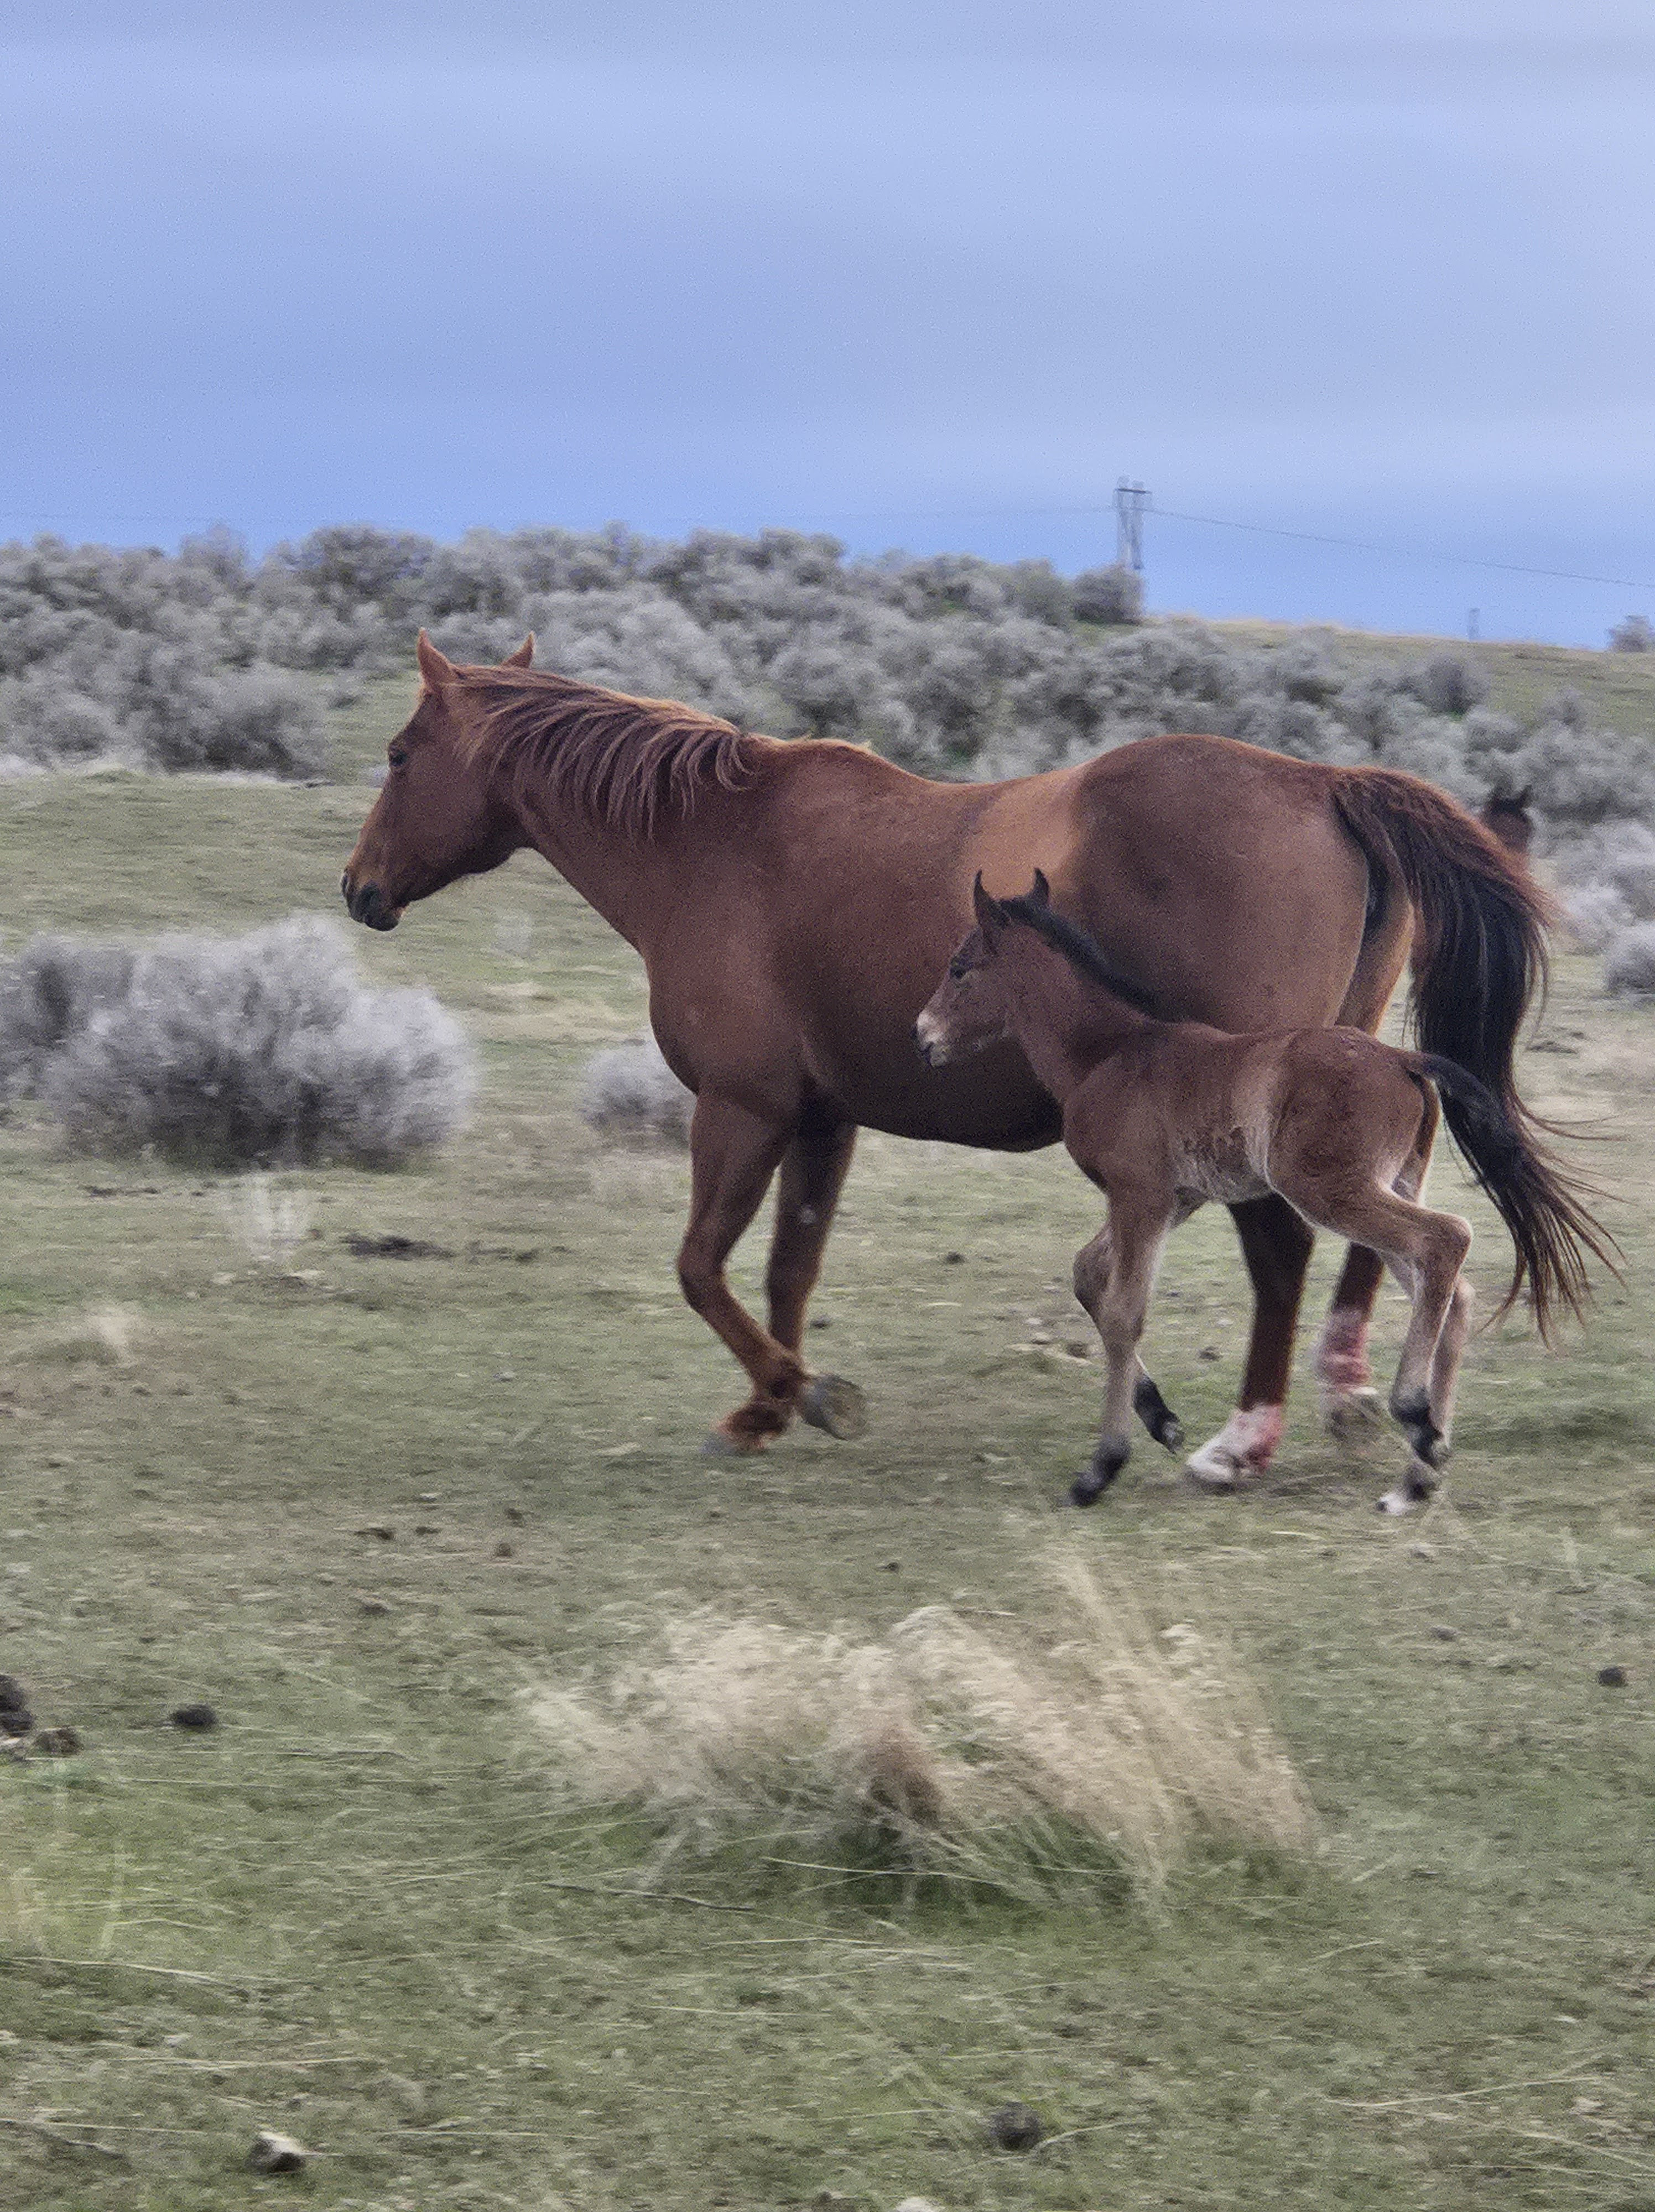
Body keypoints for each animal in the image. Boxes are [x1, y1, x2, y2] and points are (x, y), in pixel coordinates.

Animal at [343, 630, 1562, 1479]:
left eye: (399, 755)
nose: (359, 889)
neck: (710, 847)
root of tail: (1322, 783)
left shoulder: (741, 1107)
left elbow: (700, 1266)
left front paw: (787, 1391)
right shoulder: (820, 1117)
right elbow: (788, 1266)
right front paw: (773, 1404)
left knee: (1288, 1252)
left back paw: (1245, 1440)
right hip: (1335, 1095)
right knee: (1379, 1247)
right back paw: (1356, 1396)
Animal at [917, 873, 1612, 1513]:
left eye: (958, 968)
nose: (923, 1035)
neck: (1108, 1053)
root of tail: (1403, 1060)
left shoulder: (1139, 1194)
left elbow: (1122, 1312)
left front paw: (1100, 1468)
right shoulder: (1175, 1198)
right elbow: (1088, 1275)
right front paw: (1161, 1418)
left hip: (1331, 1189)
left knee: (1446, 1238)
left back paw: (1414, 1413)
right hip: (1390, 1182)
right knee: (1452, 1288)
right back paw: (1418, 1475)